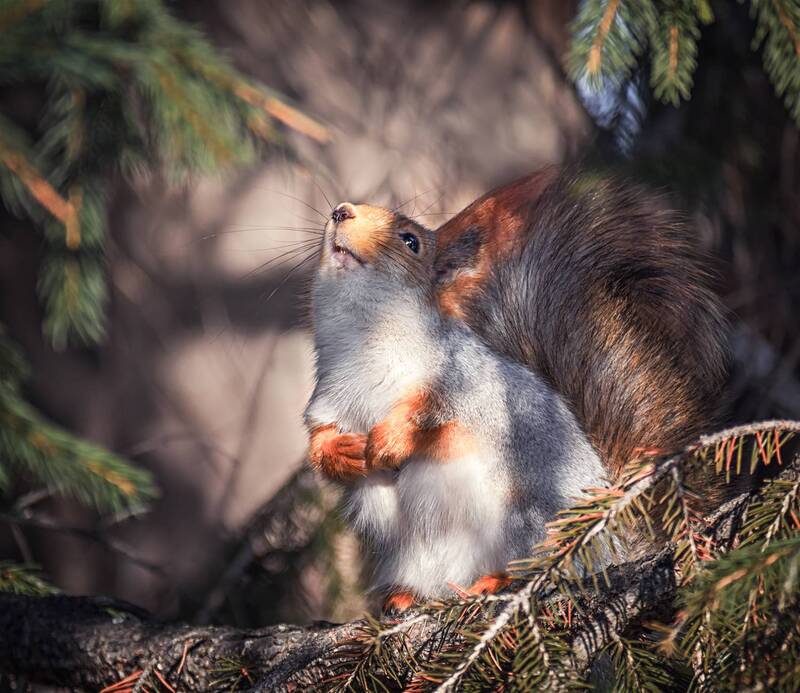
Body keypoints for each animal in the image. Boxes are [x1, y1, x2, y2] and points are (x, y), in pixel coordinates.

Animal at [304, 167, 730, 609]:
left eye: (410, 241)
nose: (341, 211)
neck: (362, 337)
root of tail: (608, 546)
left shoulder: (469, 384)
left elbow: (437, 420)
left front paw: (389, 441)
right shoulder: (328, 399)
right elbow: (319, 443)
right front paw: (343, 454)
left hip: (528, 521)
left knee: (537, 567)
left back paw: (497, 581)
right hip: (410, 553)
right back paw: (405, 598)